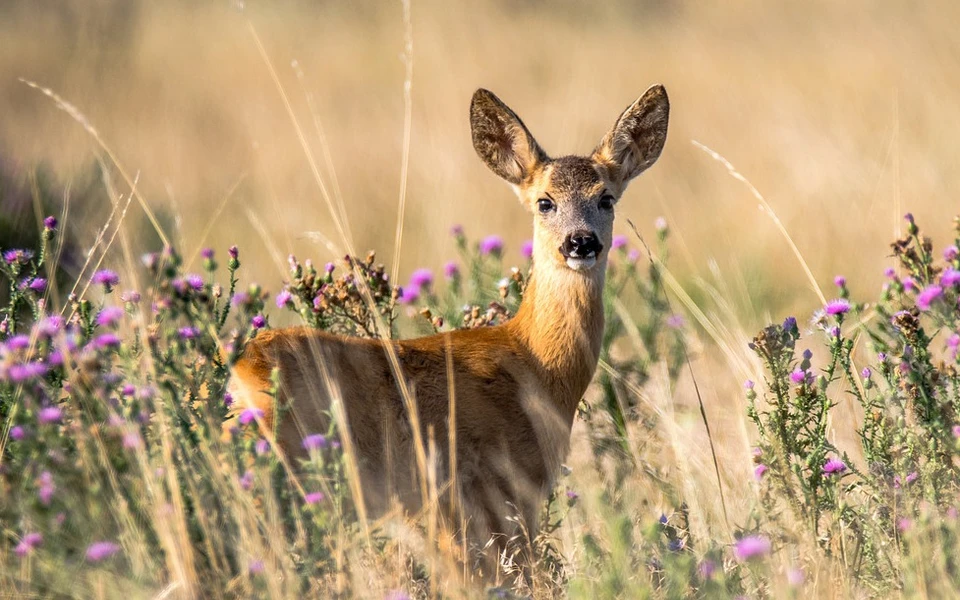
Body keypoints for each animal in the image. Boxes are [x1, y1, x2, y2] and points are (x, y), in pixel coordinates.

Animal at [229, 84, 672, 572]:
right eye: (545, 202)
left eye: (606, 198)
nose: (580, 242)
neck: (536, 365)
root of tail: (240, 371)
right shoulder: (490, 494)